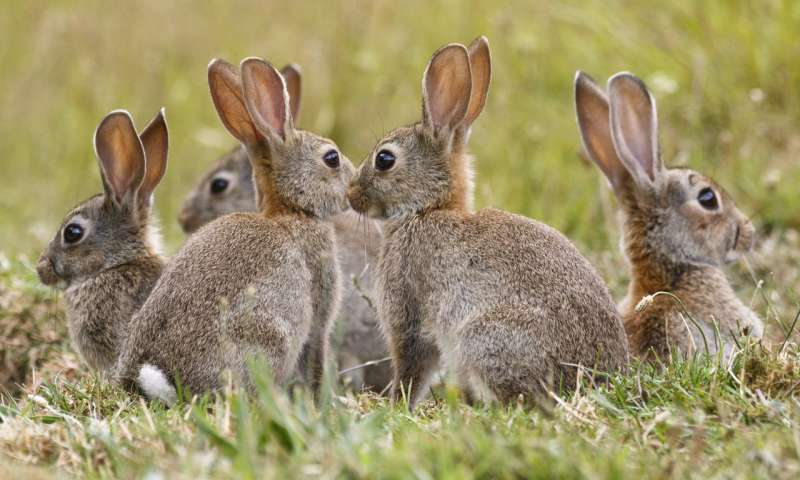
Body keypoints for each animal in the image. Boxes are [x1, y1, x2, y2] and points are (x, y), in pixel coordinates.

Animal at [112, 56, 354, 404]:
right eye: (331, 158)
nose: (354, 182)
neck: (292, 210)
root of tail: (158, 377)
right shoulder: (318, 315)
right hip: (268, 337)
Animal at [346, 36, 628, 408]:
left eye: (384, 160)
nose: (350, 194)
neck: (427, 209)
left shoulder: (408, 311)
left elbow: (412, 365)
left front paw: (397, 404)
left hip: (483, 338)